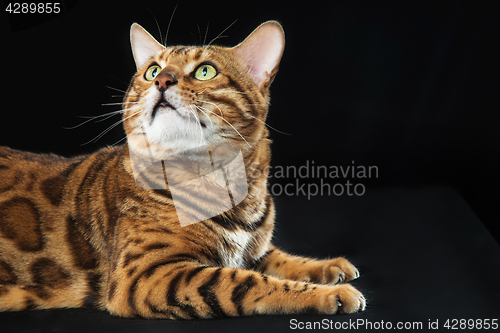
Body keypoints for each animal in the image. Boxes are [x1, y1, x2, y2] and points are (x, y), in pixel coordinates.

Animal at [0, 20, 368, 316]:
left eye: (205, 70)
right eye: (152, 70)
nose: (162, 80)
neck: (234, 194)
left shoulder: (253, 248)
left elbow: (276, 258)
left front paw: (327, 266)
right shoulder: (147, 275)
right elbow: (247, 281)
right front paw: (329, 294)